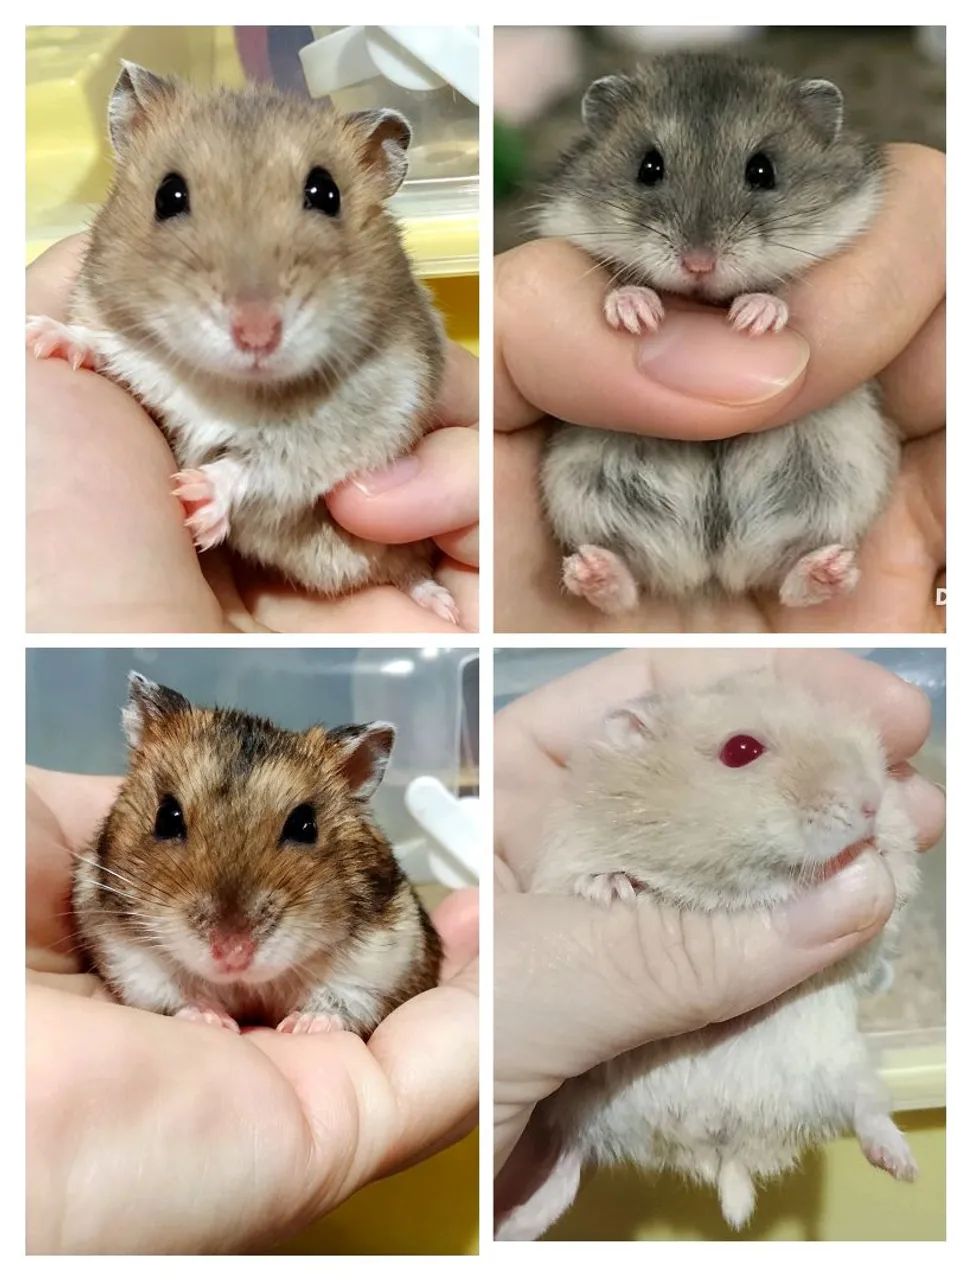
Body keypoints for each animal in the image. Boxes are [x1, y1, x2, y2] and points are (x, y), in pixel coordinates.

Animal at [26, 63, 457, 623]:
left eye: (326, 193)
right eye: (168, 195)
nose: (257, 333)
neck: (227, 385)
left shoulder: (351, 427)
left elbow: (260, 464)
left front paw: (194, 499)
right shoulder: (137, 355)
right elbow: (102, 342)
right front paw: (39, 337)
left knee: (410, 569)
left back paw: (445, 607)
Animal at [72, 672, 441, 1035]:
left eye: (305, 826)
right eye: (167, 817)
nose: (232, 954)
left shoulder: (381, 961)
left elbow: (342, 999)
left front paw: (304, 1026)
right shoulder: (127, 954)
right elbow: (173, 994)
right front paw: (214, 1019)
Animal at [499, 672, 920, 1239]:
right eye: (741, 750)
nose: (871, 801)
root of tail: (721, 1147)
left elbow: (894, 886)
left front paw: (878, 852)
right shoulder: (561, 860)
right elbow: (586, 877)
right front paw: (612, 889)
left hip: (844, 1068)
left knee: (868, 1112)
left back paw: (903, 1167)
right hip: (581, 1100)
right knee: (568, 1167)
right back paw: (512, 1226)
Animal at [535, 54, 899, 613]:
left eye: (763, 170)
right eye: (648, 167)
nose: (699, 264)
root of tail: (711, 573)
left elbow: (779, 293)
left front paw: (753, 318)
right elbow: (620, 284)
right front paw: (637, 313)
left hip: (838, 486)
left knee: (791, 581)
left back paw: (830, 569)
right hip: (583, 491)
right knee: (625, 586)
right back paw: (592, 570)